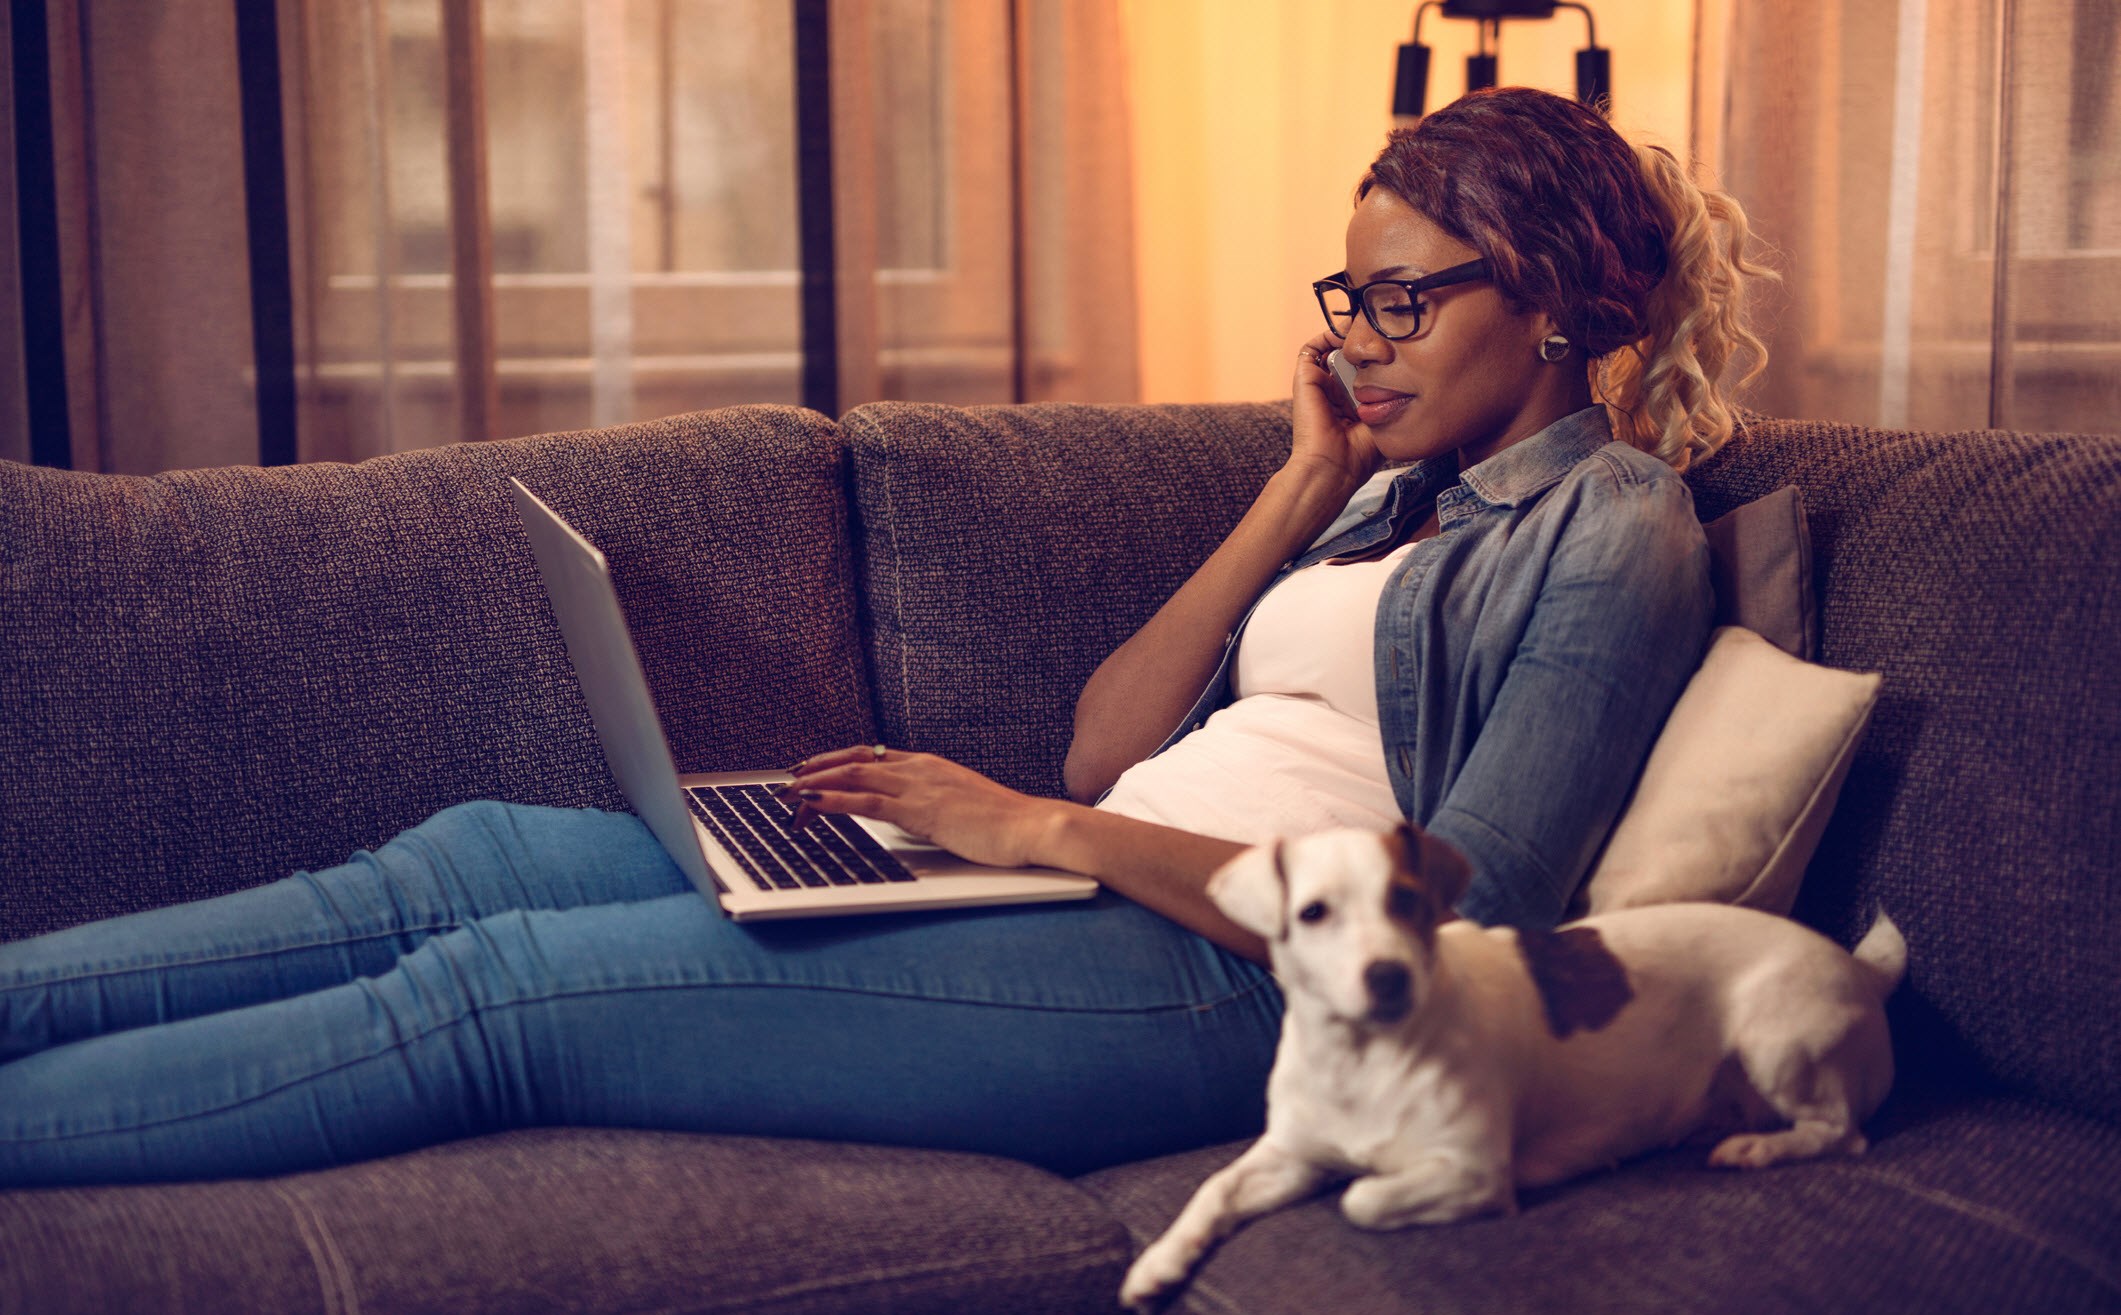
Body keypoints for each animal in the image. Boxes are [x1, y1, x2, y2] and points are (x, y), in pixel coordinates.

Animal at [1128, 827, 1908, 1306]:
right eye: (1314, 913)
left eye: (1407, 901)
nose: (1388, 977)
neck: (1359, 1058)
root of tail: (1860, 972)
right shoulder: (1288, 1156)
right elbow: (1213, 1189)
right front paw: (1156, 1263)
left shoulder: (1471, 1172)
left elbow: (1362, 1198)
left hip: (1774, 1039)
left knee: (1840, 1132)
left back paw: (1755, 1147)